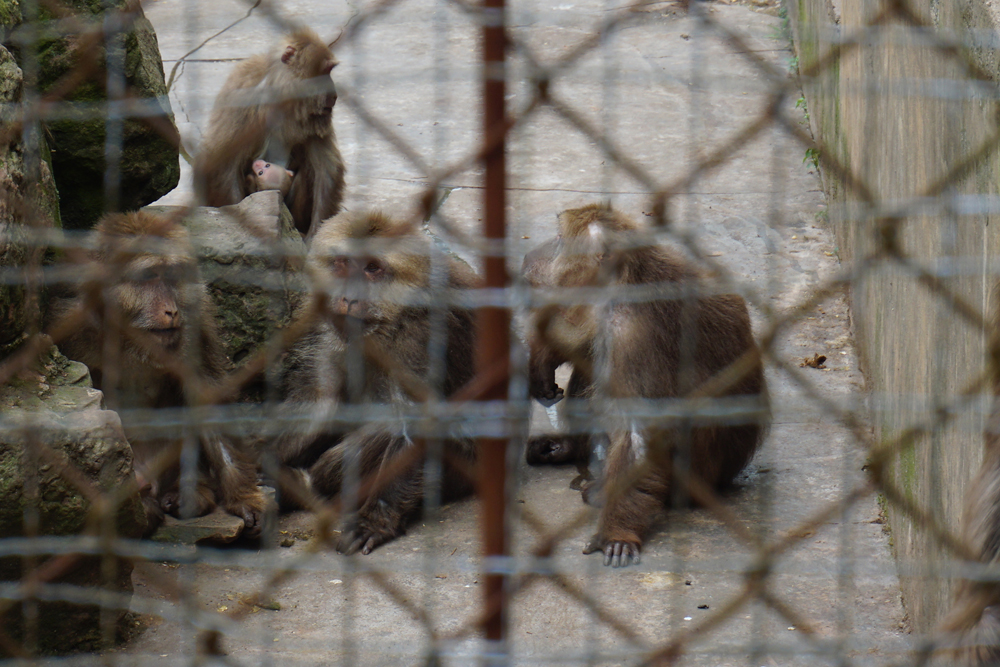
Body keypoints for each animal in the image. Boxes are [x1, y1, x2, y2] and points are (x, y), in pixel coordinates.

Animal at [47, 211, 266, 538]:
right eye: (149, 276)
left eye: (172, 275)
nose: (172, 311)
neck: (129, 341)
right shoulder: (68, 322)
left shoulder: (196, 325)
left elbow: (207, 398)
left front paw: (244, 497)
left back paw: (189, 494)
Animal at [195, 28, 345, 238]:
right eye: (324, 72)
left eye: (329, 71)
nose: (334, 94)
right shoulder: (242, 96)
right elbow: (224, 163)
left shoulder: (312, 117)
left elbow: (327, 168)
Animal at [269, 210, 480, 554]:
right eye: (343, 263)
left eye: (372, 269)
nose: (349, 297)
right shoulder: (324, 320)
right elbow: (318, 401)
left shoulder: (421, 336)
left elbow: (419, 425)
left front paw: (377, 520)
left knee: (388, 426)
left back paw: (307, 486)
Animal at [522, 203, 769, 567]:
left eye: (557, 239)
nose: (528, 254)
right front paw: (541, 359)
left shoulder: (632, 335)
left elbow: (640, 435)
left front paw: (617, 533)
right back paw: (569, 448)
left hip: (694, 478)